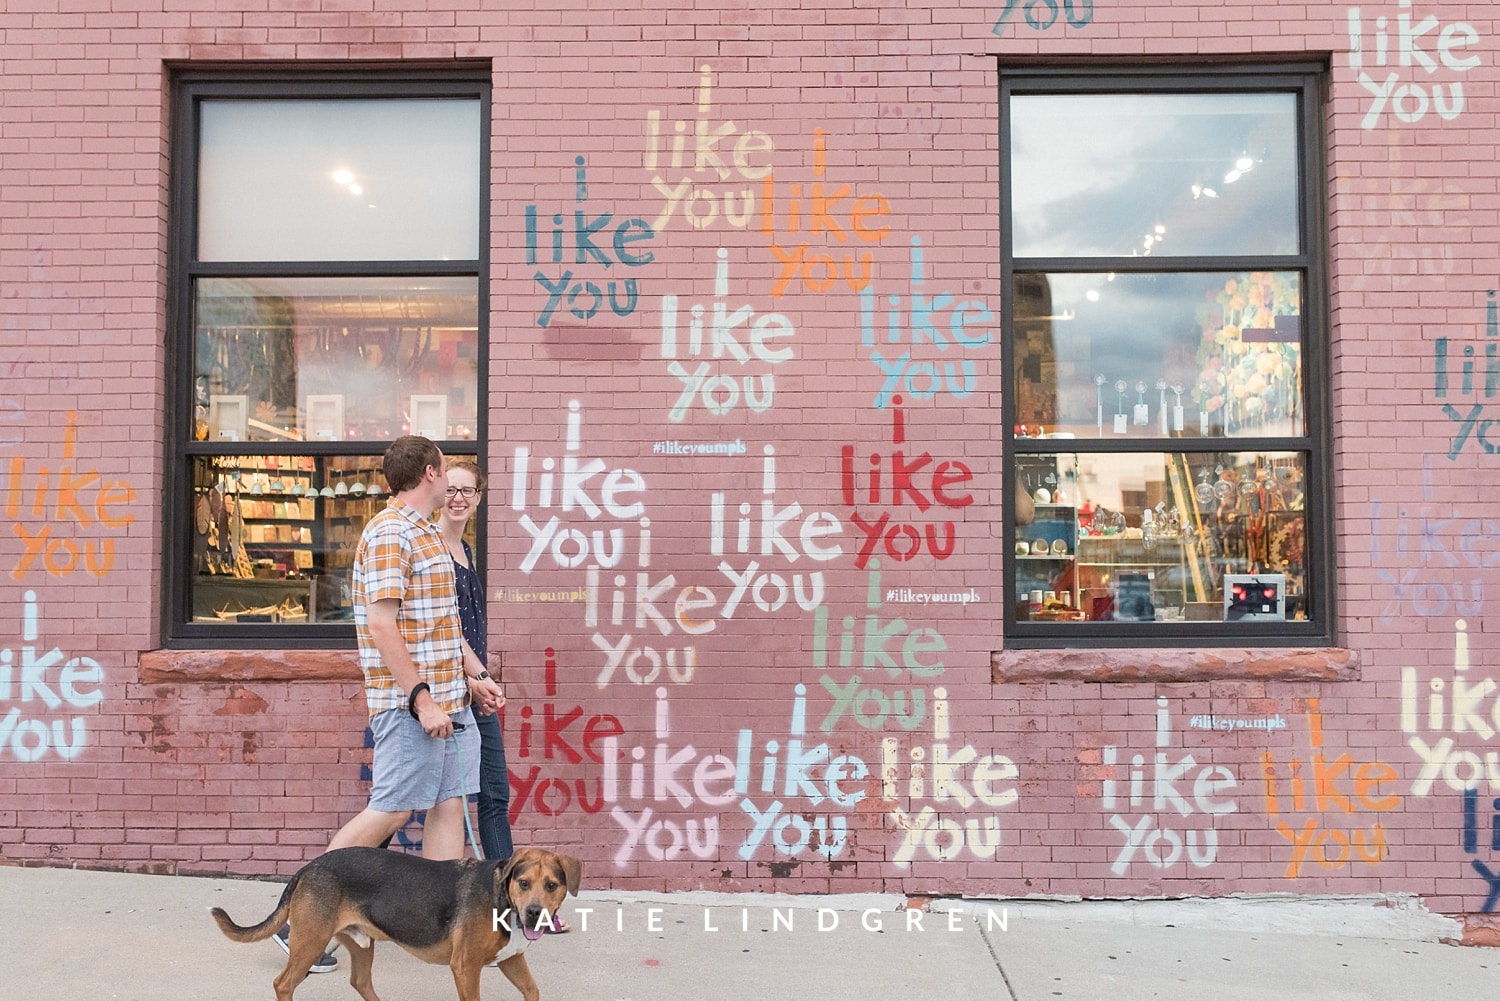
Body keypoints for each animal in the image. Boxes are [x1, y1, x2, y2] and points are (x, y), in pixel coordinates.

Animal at [211, 846, 579, 1001]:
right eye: (523, 883)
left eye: (551, 885)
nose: (534, 913)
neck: (501, 897)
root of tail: (308, 867)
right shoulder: (466, 966)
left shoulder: (512, 960)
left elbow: (532, 990)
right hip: (311, 942)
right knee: (283, 984)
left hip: (361, 943)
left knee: (360, 982)